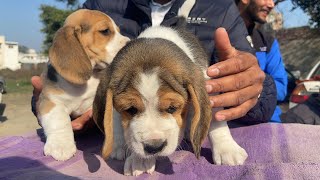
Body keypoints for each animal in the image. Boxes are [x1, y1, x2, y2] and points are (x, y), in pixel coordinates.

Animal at [38, 9, 130, 161]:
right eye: (105, 31)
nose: (132, 42)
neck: (92, 75)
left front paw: (118, 146)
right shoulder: (51, 100)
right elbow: (59, 119)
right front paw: (61, 146)